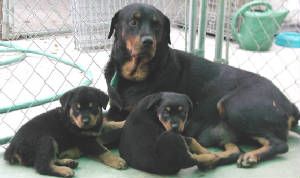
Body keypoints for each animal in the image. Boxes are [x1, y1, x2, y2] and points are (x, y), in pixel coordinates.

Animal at [104, 3, 298, 169]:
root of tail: (289, 103)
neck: (134, 78)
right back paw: (211, 159)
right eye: (133, 22)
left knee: (280, 144)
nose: (148, 41)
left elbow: (111, 130)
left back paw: (249, 156)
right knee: (233, 148)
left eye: (157, 25)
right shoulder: (116, 109)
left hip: (233, 105)